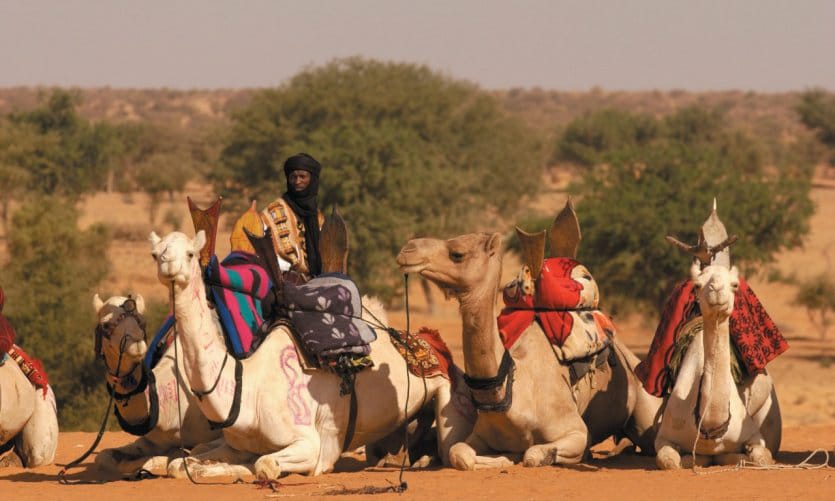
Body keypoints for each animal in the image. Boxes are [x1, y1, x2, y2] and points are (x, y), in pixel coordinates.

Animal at [149, 230, 470, 480]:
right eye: (155, 253)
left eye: (190, 253)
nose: (167, 265)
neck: (246, 388)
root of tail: (432, 343)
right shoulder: (237, 444)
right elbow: (184, 463)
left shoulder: (311, 444)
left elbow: (263, 464)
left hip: (449, 393)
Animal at [396, 200, 664, 468]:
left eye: (457, 253)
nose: (407, 250)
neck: (512, 392)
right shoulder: (480, 435)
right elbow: (459, 453)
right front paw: (502, 458)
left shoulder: (576, 432)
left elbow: (533, 455)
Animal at [652, 204, 784, 468]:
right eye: (696, 284)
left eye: (735, 284)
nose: (716, 290)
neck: (710, 425)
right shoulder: (664, 437)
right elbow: (670, 460)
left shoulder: (754, 435)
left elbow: (761, 457)